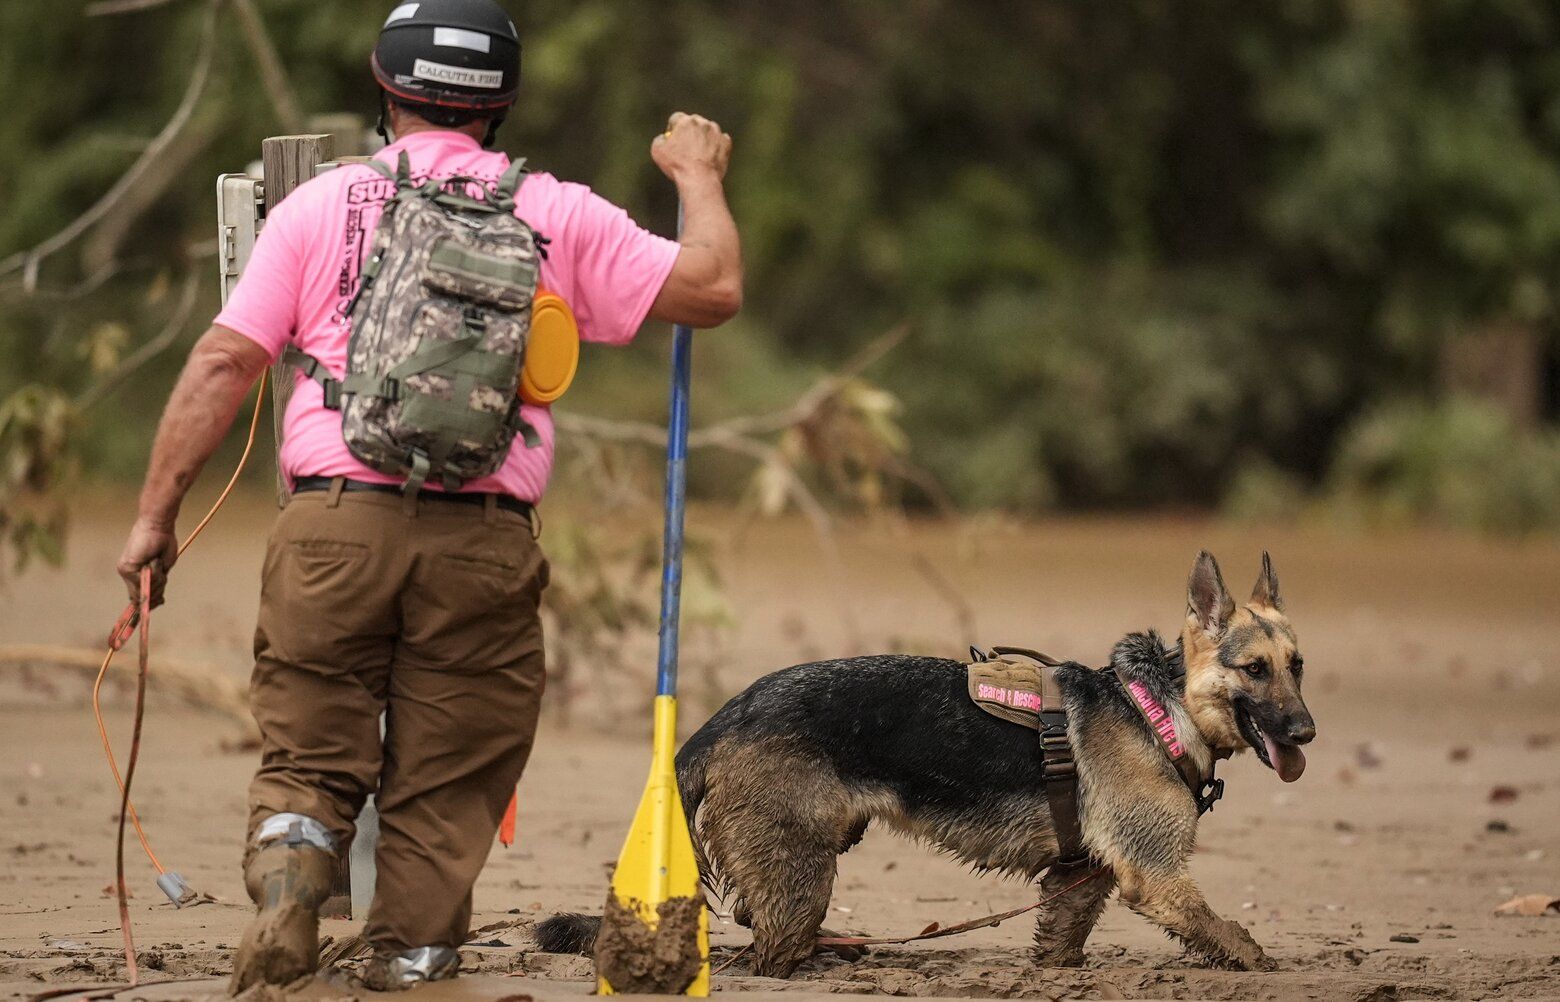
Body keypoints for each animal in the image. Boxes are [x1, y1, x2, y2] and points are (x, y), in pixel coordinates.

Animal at [539, 549, 1316, 973]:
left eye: (1298, 666)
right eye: (1253, 670)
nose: (1307, 732)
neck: (1159, 705)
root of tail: (724, 716)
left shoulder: (1082, 879)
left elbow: (1061, 941)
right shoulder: (1155, 878)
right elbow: (1231, 934)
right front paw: (1264, 963)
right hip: (801, 874)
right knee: (760, 956)